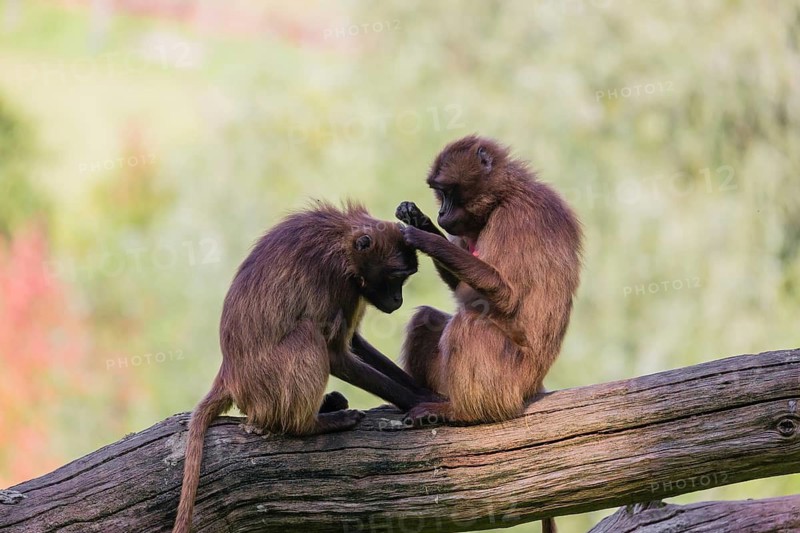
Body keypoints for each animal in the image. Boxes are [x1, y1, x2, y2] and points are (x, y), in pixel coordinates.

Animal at [173, 202, 437, 533]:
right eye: (395, 277)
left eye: (404, 278)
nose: (397, 300)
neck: (343, 241)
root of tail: (229, 374)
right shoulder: (337, 281)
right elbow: (335, 352)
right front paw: (425, 402)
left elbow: (353, 342)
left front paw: (428, 393)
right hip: (267, 383)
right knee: (308, 333)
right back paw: (314, 423)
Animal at [395, 135, 583, 426]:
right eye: (440, 193)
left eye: (449, 191)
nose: (441, 213)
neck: (504, 194)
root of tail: (535, 386)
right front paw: (420, 220)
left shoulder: (514, 219)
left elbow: (506, 295)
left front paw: (426, 238)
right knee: (425, 319)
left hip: (512, 380)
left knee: (470, 324)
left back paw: (462, 413)